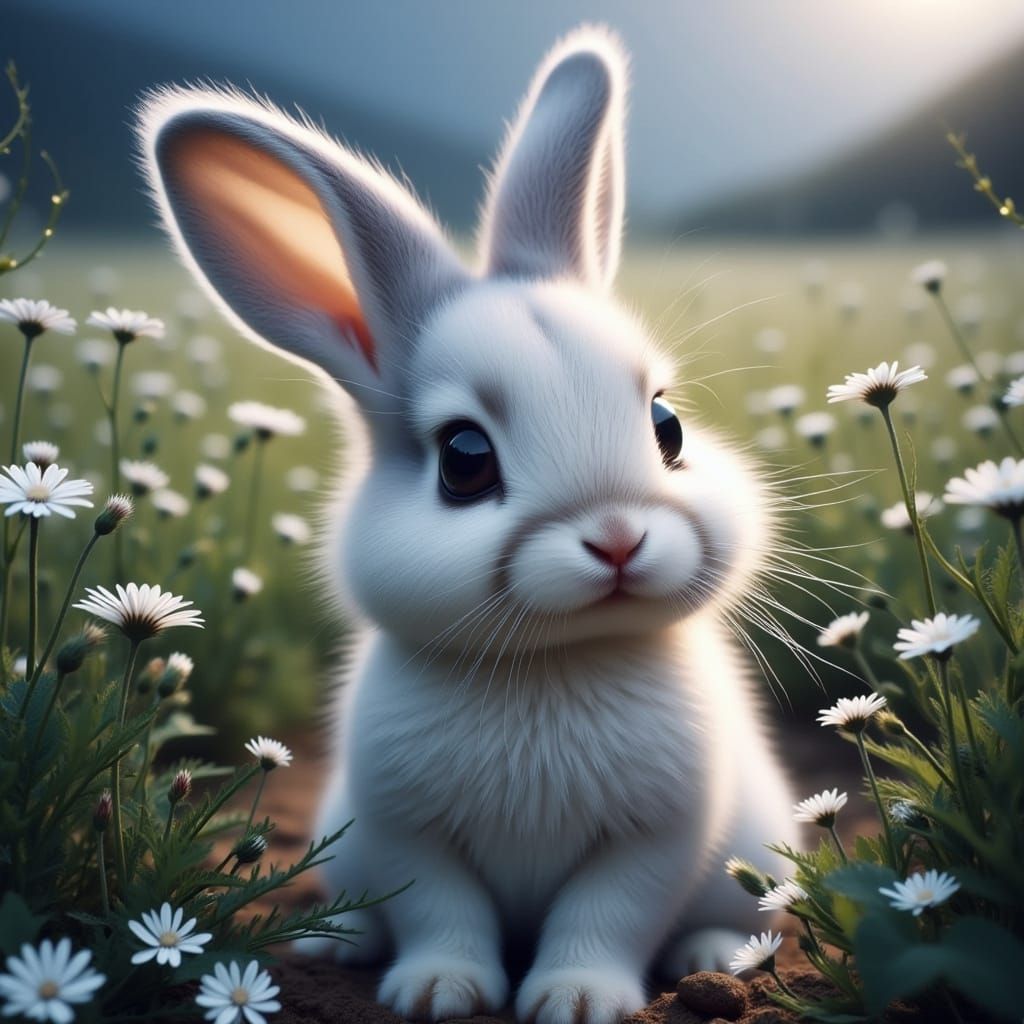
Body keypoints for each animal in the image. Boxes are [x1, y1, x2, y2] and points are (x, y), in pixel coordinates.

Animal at [138, 24, 798, 1024]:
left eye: (667, 426)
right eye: (463, 458)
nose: (618, 540)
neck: (550, 664)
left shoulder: (658, 837)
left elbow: (607, 915)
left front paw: (576, 999)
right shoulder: (405, 832)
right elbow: (441, 910)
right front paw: (439, 990)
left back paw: (716, 957)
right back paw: (335, 942)